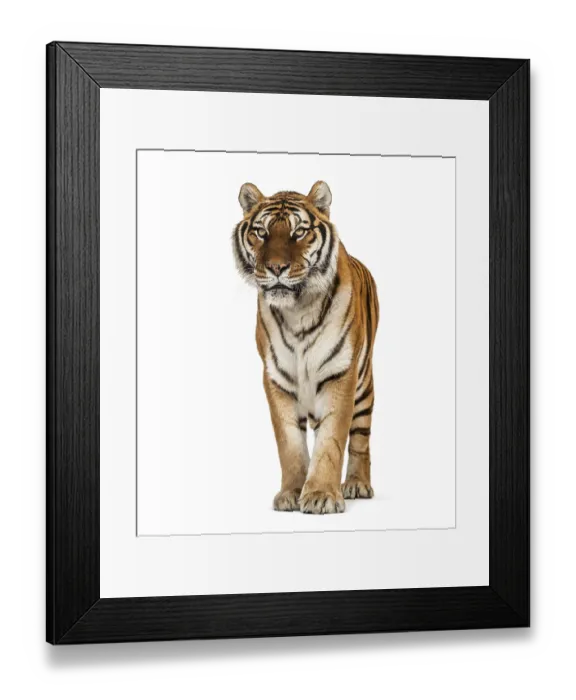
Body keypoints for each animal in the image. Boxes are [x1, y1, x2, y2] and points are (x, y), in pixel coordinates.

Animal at [233, 181, 379, 514]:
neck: (297, 309)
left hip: (364, 384)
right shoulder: (277, 378)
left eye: (298, 232)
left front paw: (322, 495)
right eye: (261, 232)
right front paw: (292, 492)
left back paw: (357, 484)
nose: (276, 268)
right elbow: (290, 443)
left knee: (360, 437)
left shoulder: (340, 373)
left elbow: (331, 440)